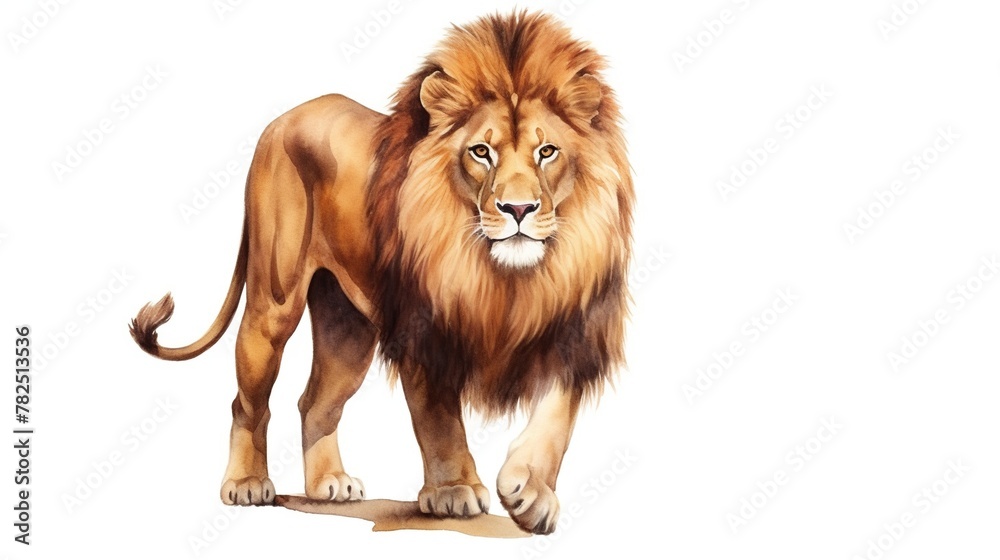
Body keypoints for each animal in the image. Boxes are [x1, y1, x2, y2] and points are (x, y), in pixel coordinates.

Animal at [129, 11, 633, 535]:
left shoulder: (574, 328)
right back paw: (246, 483)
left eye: (547, 152)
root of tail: (281, 121)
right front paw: (454, 491)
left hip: (347, 330)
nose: (518, 209)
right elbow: (439, 420)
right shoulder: (423, 332)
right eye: (481, 152)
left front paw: (531, 492)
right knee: (246, 401)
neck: (502, 276)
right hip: (272, 307)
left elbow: (556, 417)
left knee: (315, 401)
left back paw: (329, 485)